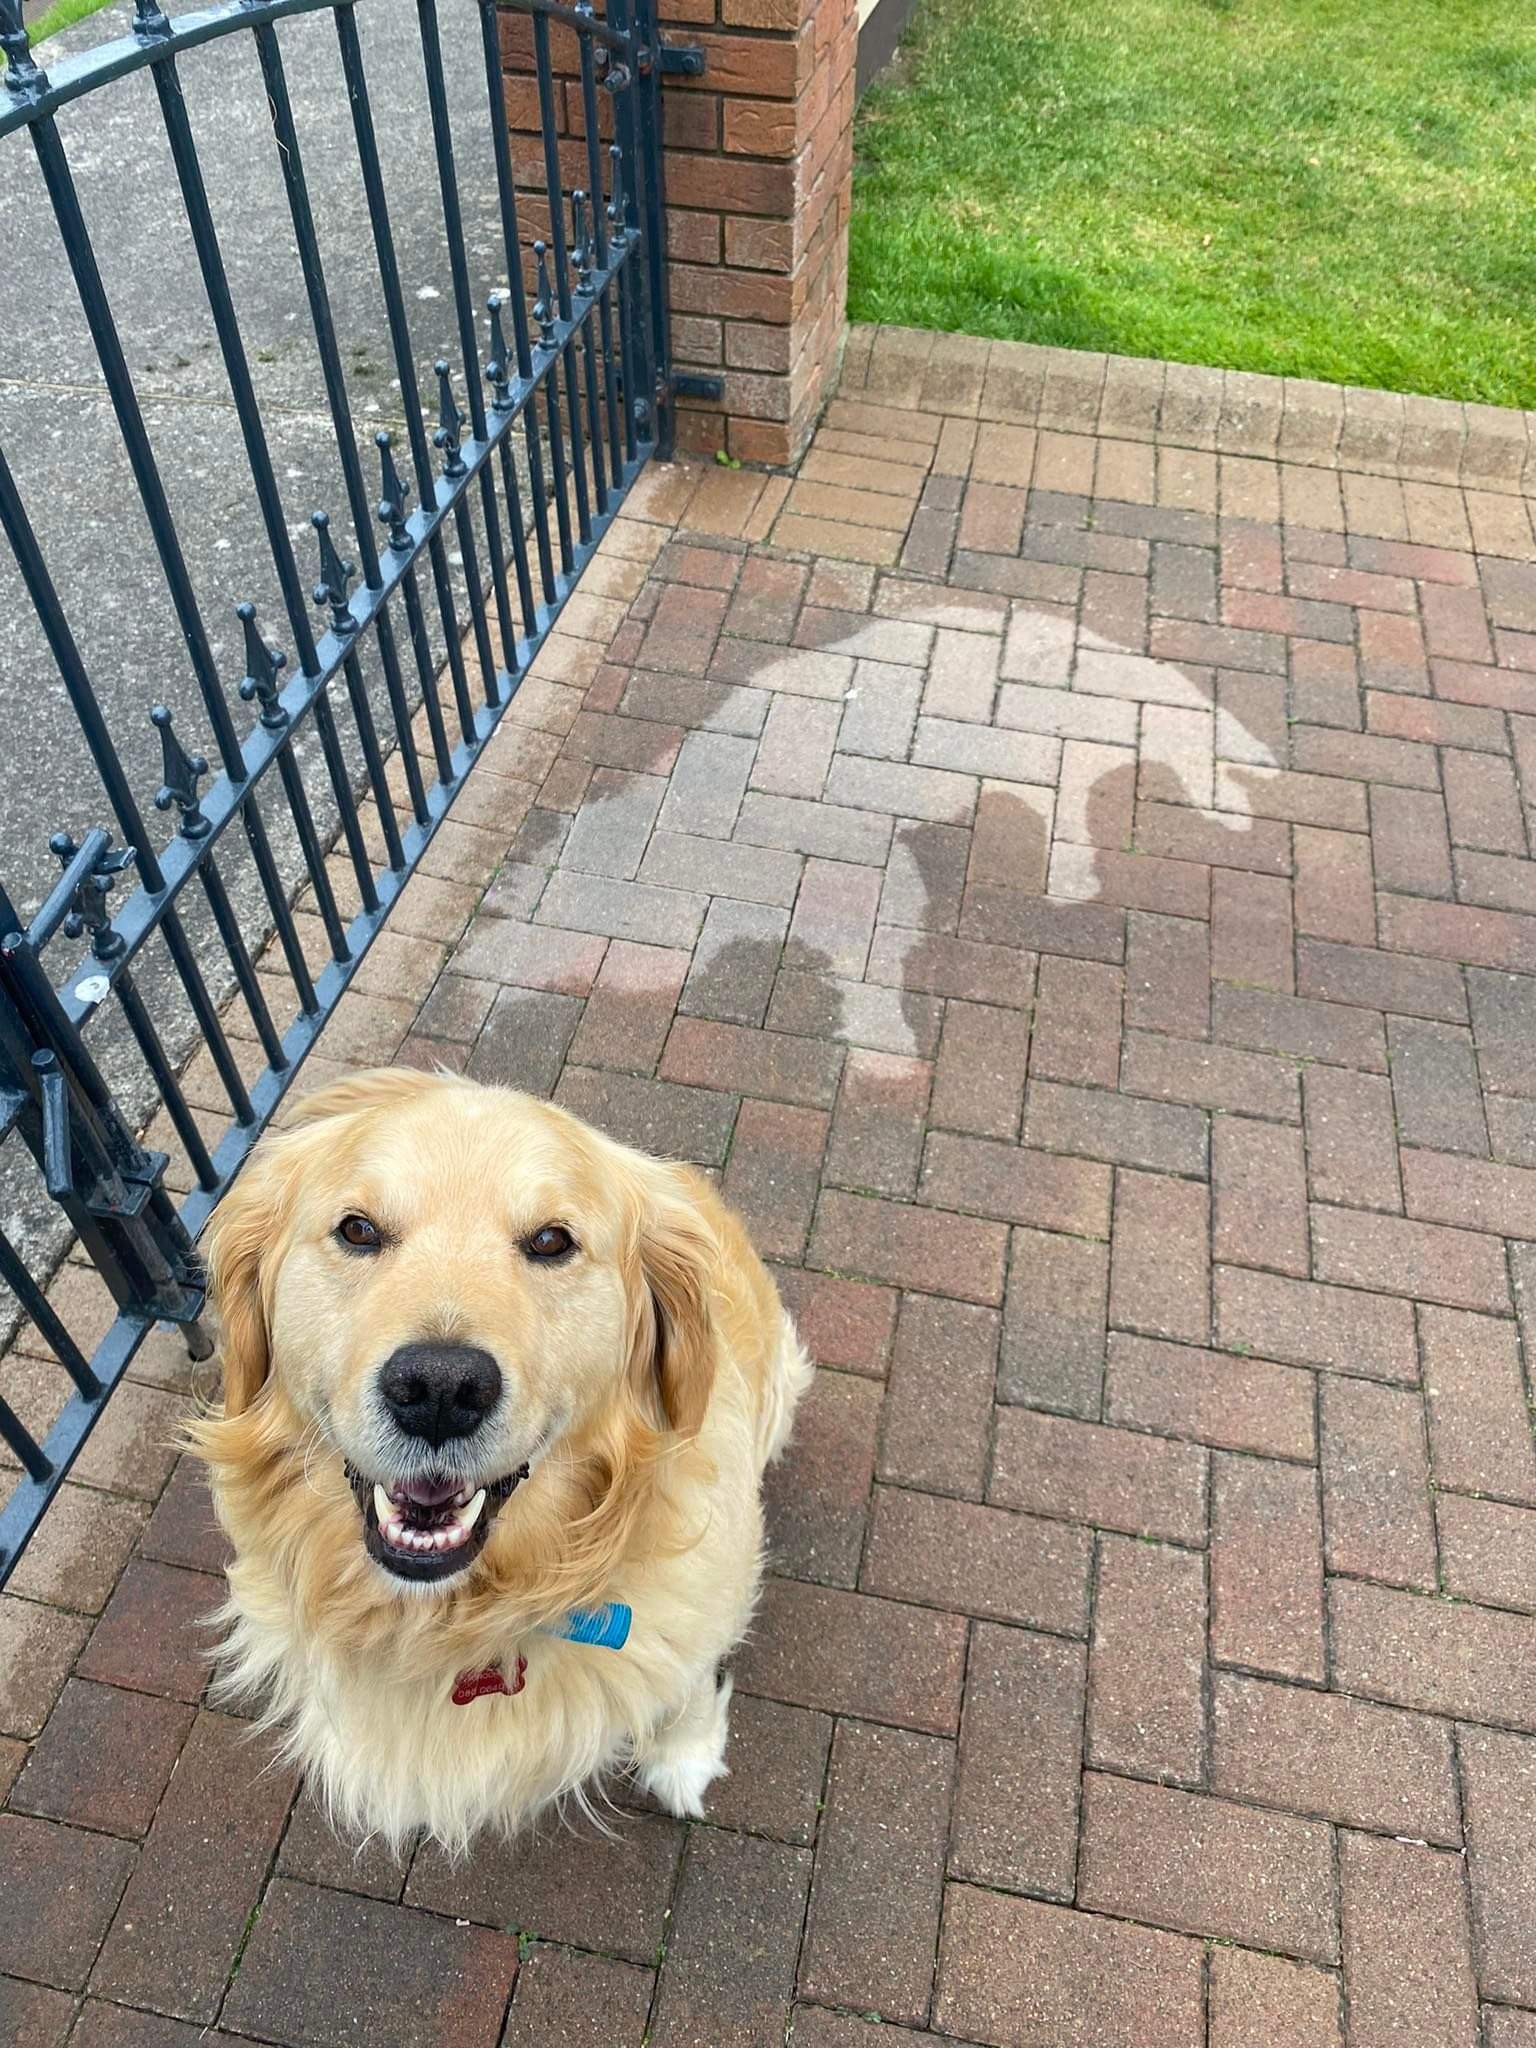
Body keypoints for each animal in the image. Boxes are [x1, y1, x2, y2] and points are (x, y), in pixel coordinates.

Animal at [191, 1073, 811, 1859]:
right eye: (357, 1230)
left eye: (551, 1241)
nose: (438, 1391)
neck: (457, 1617)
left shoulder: (701, 1618)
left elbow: (690, 1690)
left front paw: (685, 1761)